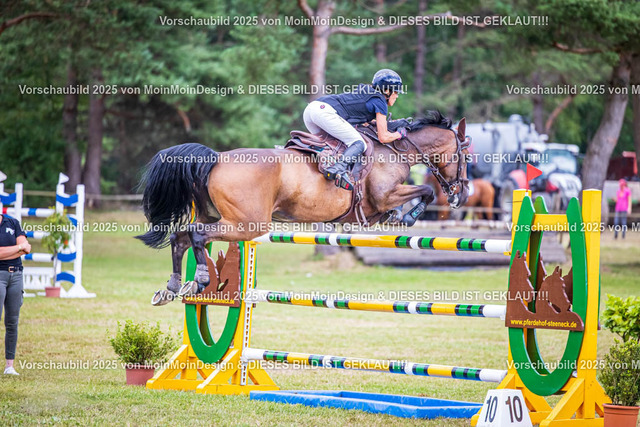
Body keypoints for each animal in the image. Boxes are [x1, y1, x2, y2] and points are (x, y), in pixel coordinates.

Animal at [136, 111, 470, 304]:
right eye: (466, 155)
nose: (463, 194)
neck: (396, 149)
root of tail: (216, 158)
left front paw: (402, 216)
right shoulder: (384, 195)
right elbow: (426, 191)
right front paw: (407, 216)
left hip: (221, 217)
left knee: (180, 237)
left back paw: (172, 287)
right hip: (247, 225)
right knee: (196, 234)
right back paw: (201, 280)